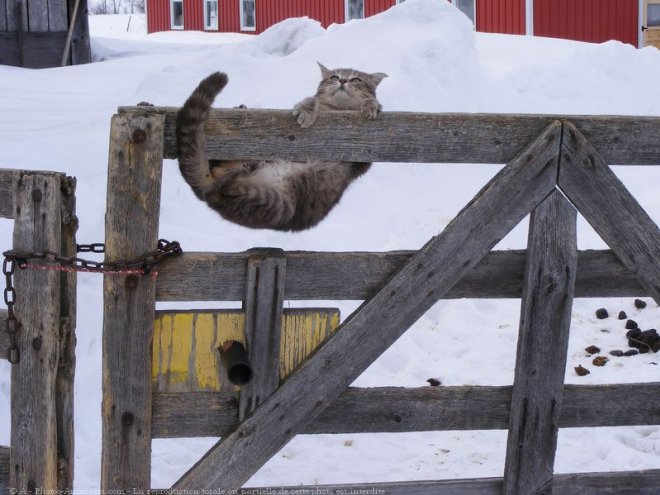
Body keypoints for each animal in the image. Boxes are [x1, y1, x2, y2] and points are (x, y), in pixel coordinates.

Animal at [175, 63, 386, 232]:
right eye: (334, 77)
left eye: (356, 79)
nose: (342, 80)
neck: (339, 111)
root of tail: (204, 190)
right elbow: (312, 99)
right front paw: (306, 110)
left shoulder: (360, 159)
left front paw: (371, 105)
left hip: (276, 203)